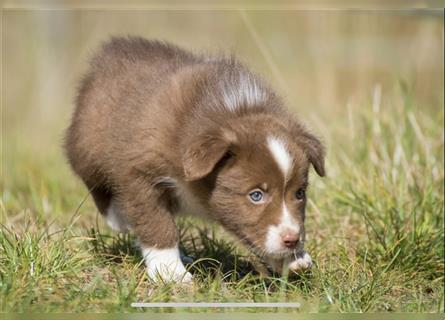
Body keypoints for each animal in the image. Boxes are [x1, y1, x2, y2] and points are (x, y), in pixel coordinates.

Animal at [64, 37, 324, 282]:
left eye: (299, 193)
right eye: (256, 195)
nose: (292, 239)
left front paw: (292, 259)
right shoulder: (140, 172)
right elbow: (157, 223)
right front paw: (169, 271)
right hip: (86, 143)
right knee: (93, 178)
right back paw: (120, 218)